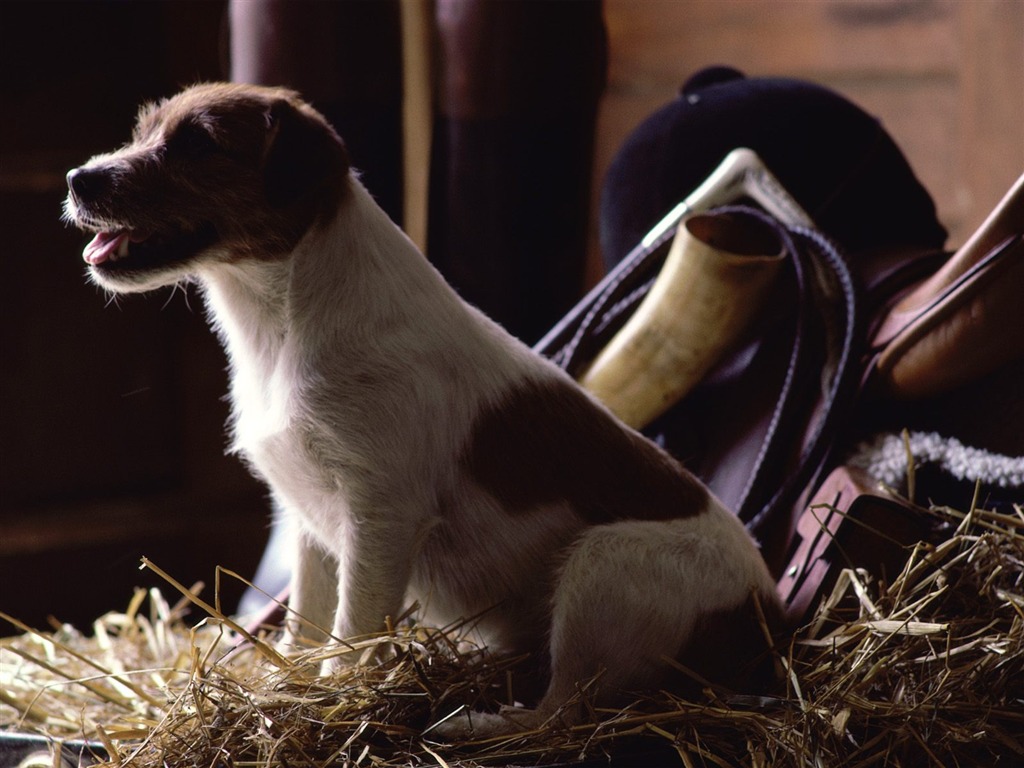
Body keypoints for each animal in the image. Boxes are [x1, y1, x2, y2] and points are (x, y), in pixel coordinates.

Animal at [64, 83, 778, 741]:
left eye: (198, 144)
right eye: (143, 132)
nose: (77, 178)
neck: (283, 320)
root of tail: (768, 614)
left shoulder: (382, 518)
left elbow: (351, 633)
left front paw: (330, 704)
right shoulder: (308, 520)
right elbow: (308, 626)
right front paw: (288, 689)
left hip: (603, 567)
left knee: (560, 713)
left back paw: (471, 722)